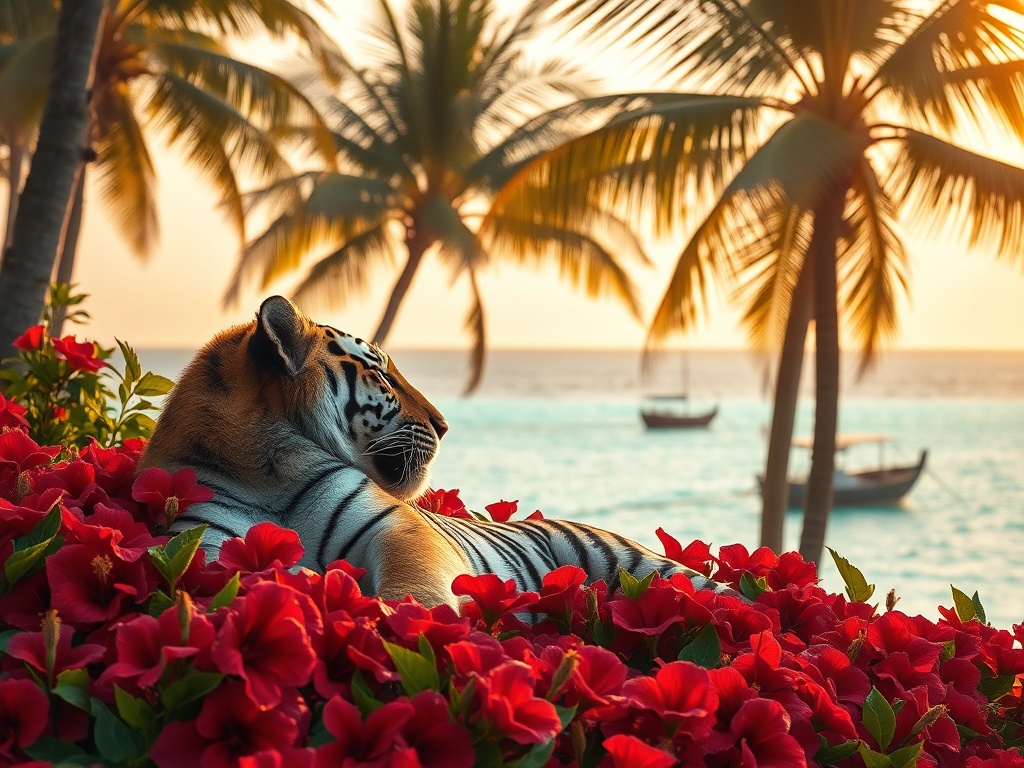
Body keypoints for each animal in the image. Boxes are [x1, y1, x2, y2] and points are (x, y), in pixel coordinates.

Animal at [140, 296, 738, 608]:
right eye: (382, 374)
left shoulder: (394, 527)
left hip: (649, 568)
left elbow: (416, 585)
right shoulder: (206, 548)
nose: (445, 425)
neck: (261, 462)